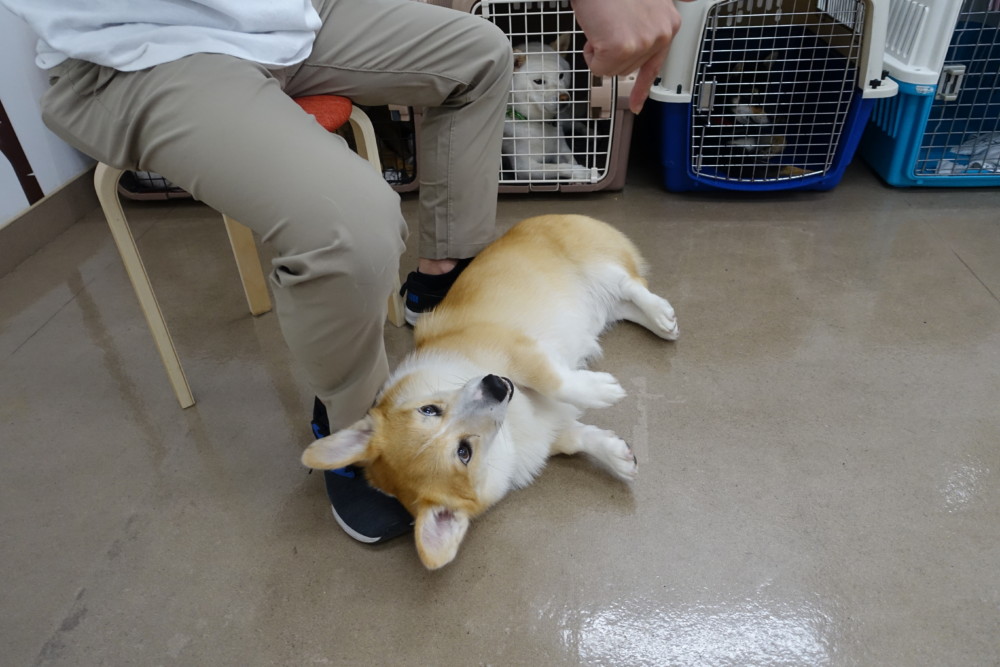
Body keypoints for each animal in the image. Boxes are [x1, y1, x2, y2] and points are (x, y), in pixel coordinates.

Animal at [301, 215, 679, 569]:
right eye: (464, 452)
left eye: (429, 409)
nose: (496, 385)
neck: (512, 424)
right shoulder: (549, 430)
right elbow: (578, 439)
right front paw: (619, 456)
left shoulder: (517, 351)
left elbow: (555, 380)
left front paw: (601, 389)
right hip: (603, 306)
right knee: (626, 301)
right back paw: (660, 322)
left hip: (594, 265)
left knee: (631, 283)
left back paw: (663, 315)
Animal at [502, 36, 595, 182]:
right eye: (539, 81)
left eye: (561, 75)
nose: (564, 98)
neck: (538, 123)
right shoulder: (524, 167)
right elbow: (556, 167)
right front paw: (580, 172)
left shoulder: (561, 147)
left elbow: (571, 159)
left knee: (574, 123)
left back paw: (591, 133)